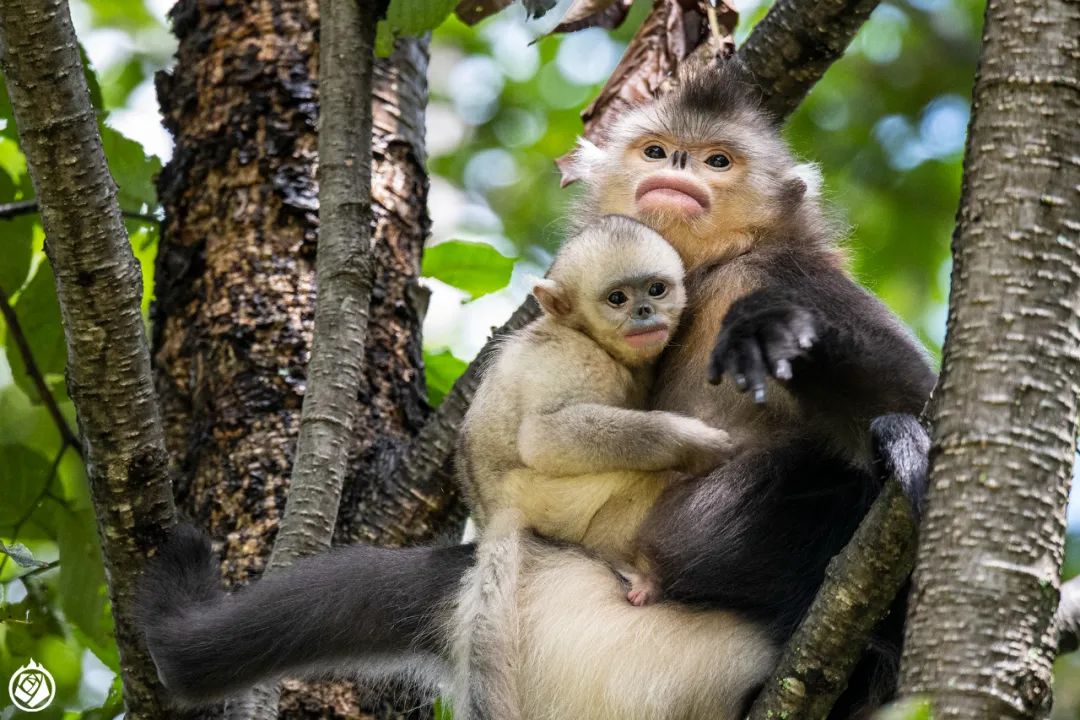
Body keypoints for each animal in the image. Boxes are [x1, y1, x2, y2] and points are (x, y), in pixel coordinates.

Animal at [460, 212, 730, 604]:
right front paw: (688, 440)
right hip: (551, 503)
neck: (586, 336)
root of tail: (496, 520)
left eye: (656, 290)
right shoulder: (575, 358)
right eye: (617, 298)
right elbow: (542, 438)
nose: (644, 311)